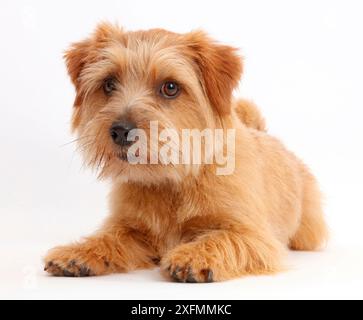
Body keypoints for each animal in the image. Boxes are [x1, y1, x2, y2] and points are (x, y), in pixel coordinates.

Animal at [44, 23, 328, 282]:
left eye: (170, 87)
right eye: (109, 84)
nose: (121, 131)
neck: (171, 181)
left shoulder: (253, 235)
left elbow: (221, 238)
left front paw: (194, 256)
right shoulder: (131, 227)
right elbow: (110, 237)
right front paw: (78, 252)